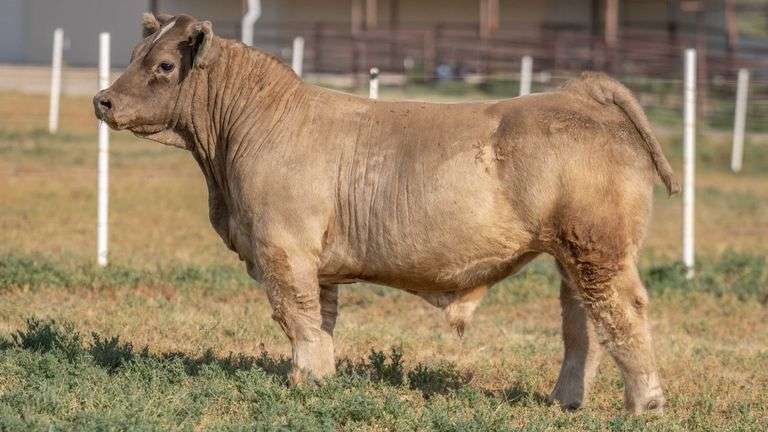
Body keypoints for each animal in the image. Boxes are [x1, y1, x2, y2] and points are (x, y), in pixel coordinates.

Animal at [94, 13, 678, 414]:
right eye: (134, 53)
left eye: (164, 65)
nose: (103, 100)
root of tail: (578, 92)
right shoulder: (316, 261)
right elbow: (321, 318)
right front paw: (319, 378)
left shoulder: (283, 247)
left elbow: (296, 315)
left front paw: (303, 381)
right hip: (572, 253)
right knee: (583, 321)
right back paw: (566, 399)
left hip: (598, 249)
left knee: (622, 312)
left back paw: (644, 404)